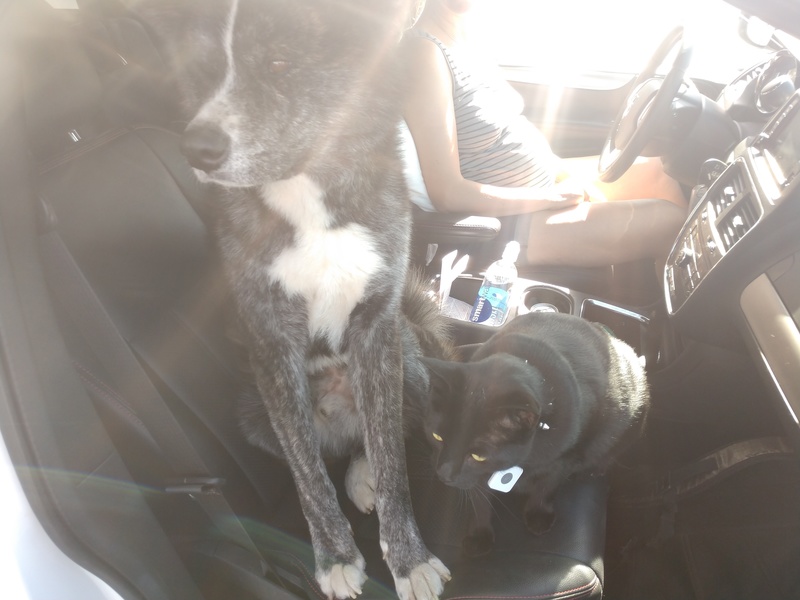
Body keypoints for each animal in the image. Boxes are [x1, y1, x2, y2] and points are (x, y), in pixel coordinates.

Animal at [135, 0, 451, 598]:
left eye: (280, 63)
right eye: (202, 70)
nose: (198, 150)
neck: (309, 194)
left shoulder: (378, 332)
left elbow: (394, 462)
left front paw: (408, 558)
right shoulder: (272, 344)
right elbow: (308, 474)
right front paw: (335, 558)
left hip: (414, 369)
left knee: (375, 438)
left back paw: (364, 472)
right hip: (252, 412)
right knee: (327, 454)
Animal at [420, 311, 649, 557]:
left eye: (478, 455)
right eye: (437, 437)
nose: (443, 473)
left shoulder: (564, 459)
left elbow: (546, 487)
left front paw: (539, 516)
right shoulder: (475, 476)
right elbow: (479, 500)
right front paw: (479, 534)